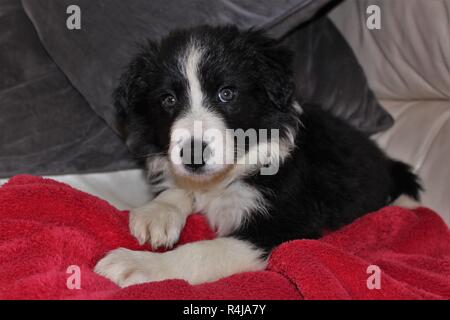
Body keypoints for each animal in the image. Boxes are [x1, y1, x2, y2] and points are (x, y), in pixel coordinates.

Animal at [95, 24, 422, 284]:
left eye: (227, 93)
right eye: (168, 99)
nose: (192, 154)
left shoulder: (284, 226)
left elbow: (205, 251)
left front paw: (137, 264)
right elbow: (182, 187)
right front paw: (157, 213)